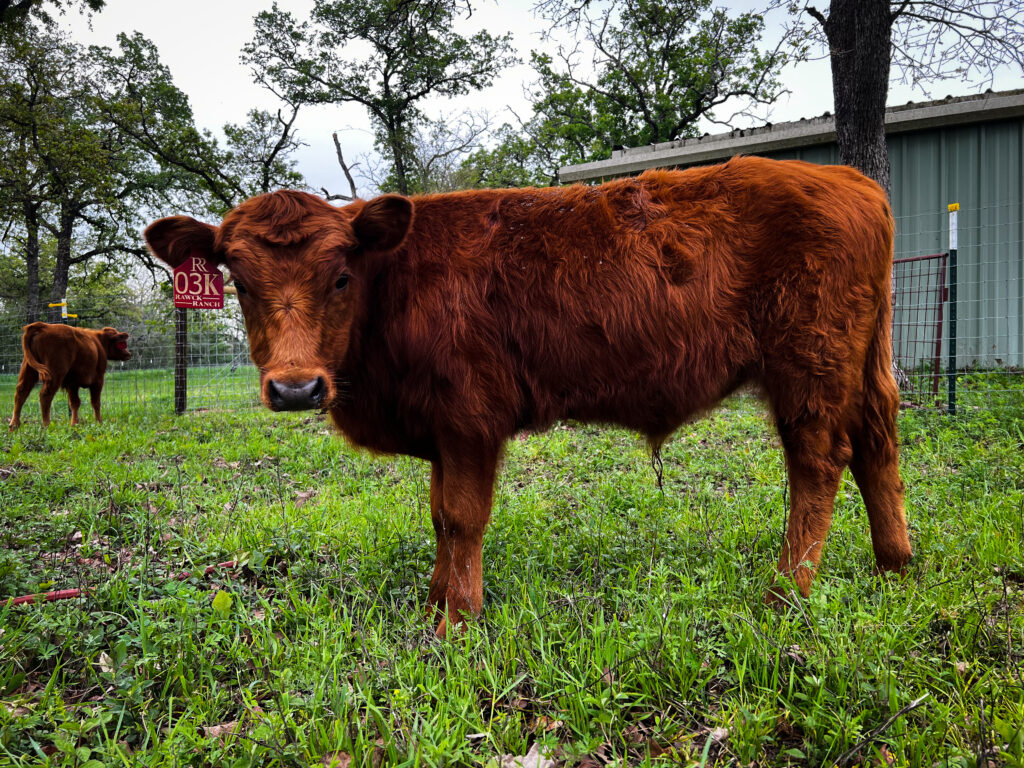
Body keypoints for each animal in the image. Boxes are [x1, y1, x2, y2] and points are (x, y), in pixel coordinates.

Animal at [142, 156, 913, 638]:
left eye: (339, 276)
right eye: (239, 280)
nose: (296, 386)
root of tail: (844, 178)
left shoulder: (469, 419)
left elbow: (461, 518)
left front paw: (457, 619)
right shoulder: (441, 432)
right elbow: (437, 517)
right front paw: (435, 599)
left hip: (810, 366)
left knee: (819, 463)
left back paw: (788, 590)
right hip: (861, 364)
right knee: (877, 445)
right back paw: (893, 565)